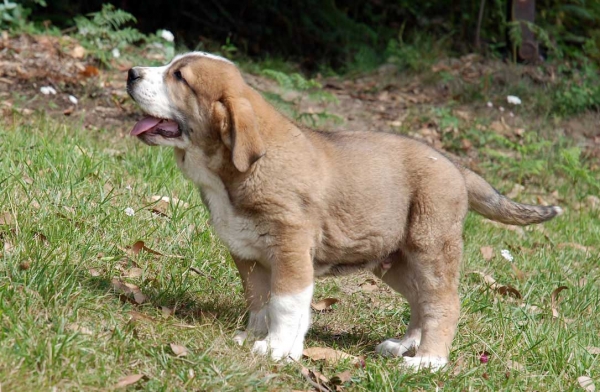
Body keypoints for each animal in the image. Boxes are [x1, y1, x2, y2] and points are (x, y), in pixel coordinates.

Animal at [126, 52, 564, 370]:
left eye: (179, 77)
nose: (130, 72)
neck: (228, 175)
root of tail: (456, 166)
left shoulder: (290, 249)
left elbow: (285, 303)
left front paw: (277, 349)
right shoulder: (248, 254)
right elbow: (260, 303)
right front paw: (256, 338)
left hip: (431, 249)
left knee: (443, 303)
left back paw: (427, 361)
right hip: (395, 261)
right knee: (421, 300)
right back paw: (404, 345)